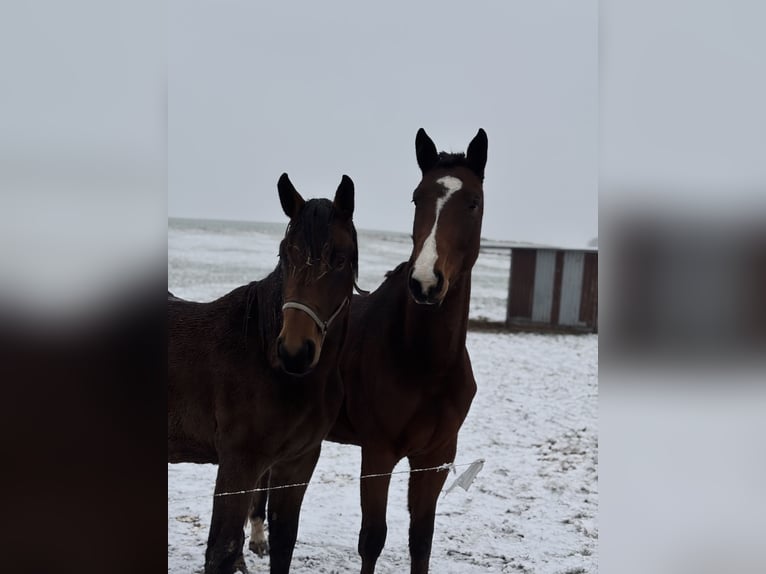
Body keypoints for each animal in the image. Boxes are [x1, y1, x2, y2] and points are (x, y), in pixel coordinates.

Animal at [168, 172, 359, 574]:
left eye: (339, 259)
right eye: (285, 253)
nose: (294, 352)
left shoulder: (296, 464)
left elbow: (284, 541)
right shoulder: (239, 463)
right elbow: (223, 550)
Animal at [326, 128, 488, 574]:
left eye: (473, 202)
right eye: (417, 198)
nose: (426, 282)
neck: (424, 362)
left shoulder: (434, 458)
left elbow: (421, 539)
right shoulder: (378, 453)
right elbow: (372, 538)